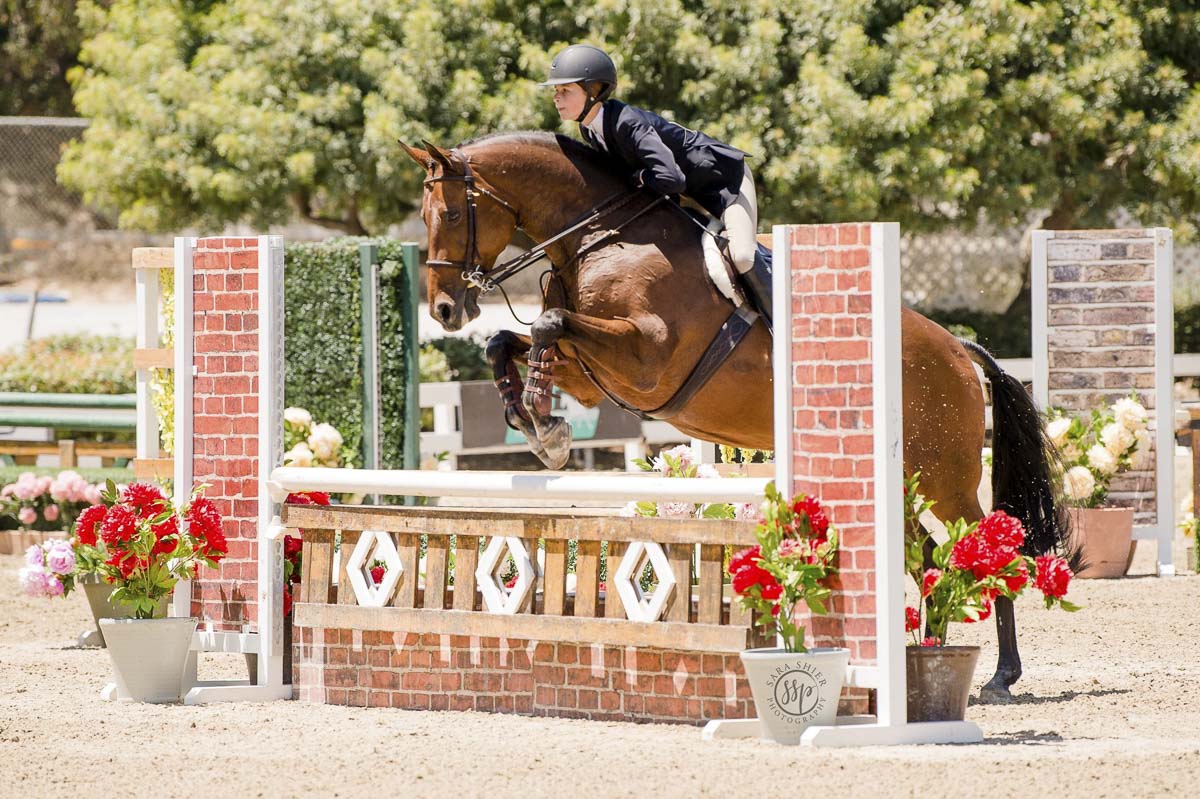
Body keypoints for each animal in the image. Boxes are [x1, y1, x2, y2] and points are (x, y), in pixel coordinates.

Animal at [400, 128, 1070, 691]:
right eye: (424, 217)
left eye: (453, 214)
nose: (446, 310)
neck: (597, 240)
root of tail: (958, 348)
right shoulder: (592, 376)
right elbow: (509, 339)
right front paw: (540, 425)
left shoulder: (646, 357)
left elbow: (547, 322)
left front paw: (543, 421)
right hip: (902, 479)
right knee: (927, 557)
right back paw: (927, 653)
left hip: (945, 475)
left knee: (985, 549)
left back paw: (1001, 675)